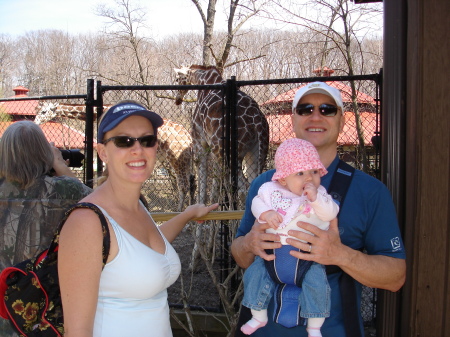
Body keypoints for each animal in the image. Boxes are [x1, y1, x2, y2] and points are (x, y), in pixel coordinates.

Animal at [35, 100, 195, 210]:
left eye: (43, 111)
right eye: (37, 110)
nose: (36, 123)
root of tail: (188, 137)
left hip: (176, 158)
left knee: (184, 185)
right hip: (185, 160)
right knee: (191, 183)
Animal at [174, 63, 268, 205]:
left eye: (177, 79)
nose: (177, 100)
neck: (204, 80)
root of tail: (257, 122)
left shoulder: (199, 142)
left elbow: (203, 177)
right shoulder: (214, 150)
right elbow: (215, 183)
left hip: (231, 154)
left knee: (240, 188)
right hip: (256, 152)